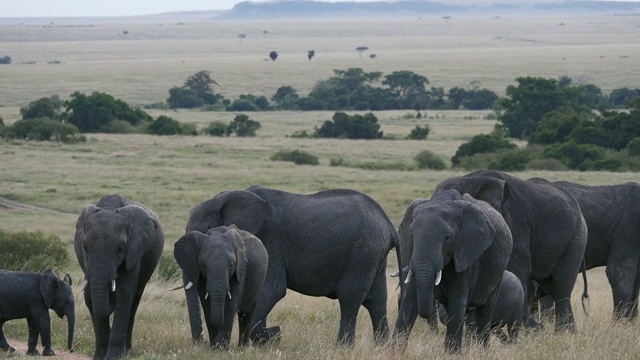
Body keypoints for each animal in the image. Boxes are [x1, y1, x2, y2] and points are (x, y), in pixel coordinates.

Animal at [73, 194, 164, 360]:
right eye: (84, 247)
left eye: (120, 248)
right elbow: (90, 298)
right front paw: (100, 356)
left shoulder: (134, 252)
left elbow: (124, 296)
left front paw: (113, 356)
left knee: (133, 303)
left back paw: (127, 351)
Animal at [182, 186, 400, 346]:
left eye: (207, 230)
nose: (201, 343)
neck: (226, 197)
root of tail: (389, 226)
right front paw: (269, 339)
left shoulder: (270, 240)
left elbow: (272, 290)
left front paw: (273, 335)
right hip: (373, 255)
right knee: (377, 300)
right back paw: (382, 347)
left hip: (362, 252)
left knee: (350, 297)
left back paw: (342, 348)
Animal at [392, 190, 512, 352]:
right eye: (411, 235)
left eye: (447, 238)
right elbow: (409, 300)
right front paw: (394, 351)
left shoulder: (468, 253)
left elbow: (457, 302)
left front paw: (452, 354)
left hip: (498, 272)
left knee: (485, 312)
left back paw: (483, 352)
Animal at [436, 169, 592, 332]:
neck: (473, 180)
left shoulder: (515, 224)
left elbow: (519, 269)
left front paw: (530, 329)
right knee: (547, 286)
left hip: (576, 238)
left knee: (560, 287)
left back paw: (565, 332)